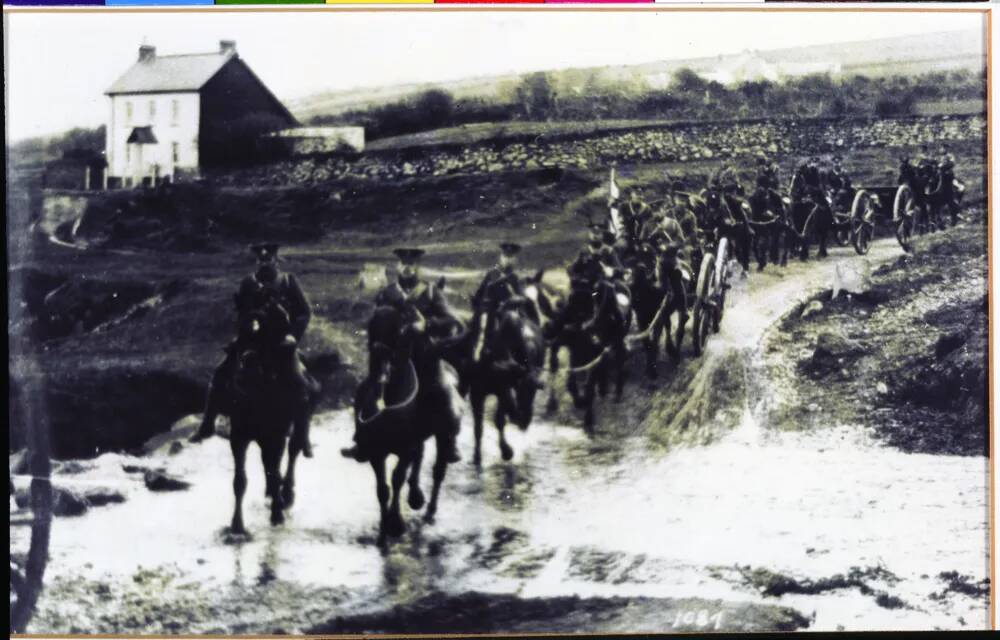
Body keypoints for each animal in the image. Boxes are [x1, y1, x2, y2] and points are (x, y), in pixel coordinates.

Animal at [348, 304, 464, 544]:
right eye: (373, 331)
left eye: (397, 334)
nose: (381, 351)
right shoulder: (377, 454)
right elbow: (384, 488)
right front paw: (385, 529)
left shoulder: (411, 447)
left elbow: (399, 477)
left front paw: (396, 523)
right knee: (419, 460)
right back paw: (416, 498)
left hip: (436, 441)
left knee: (435, 470)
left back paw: (426, 508)